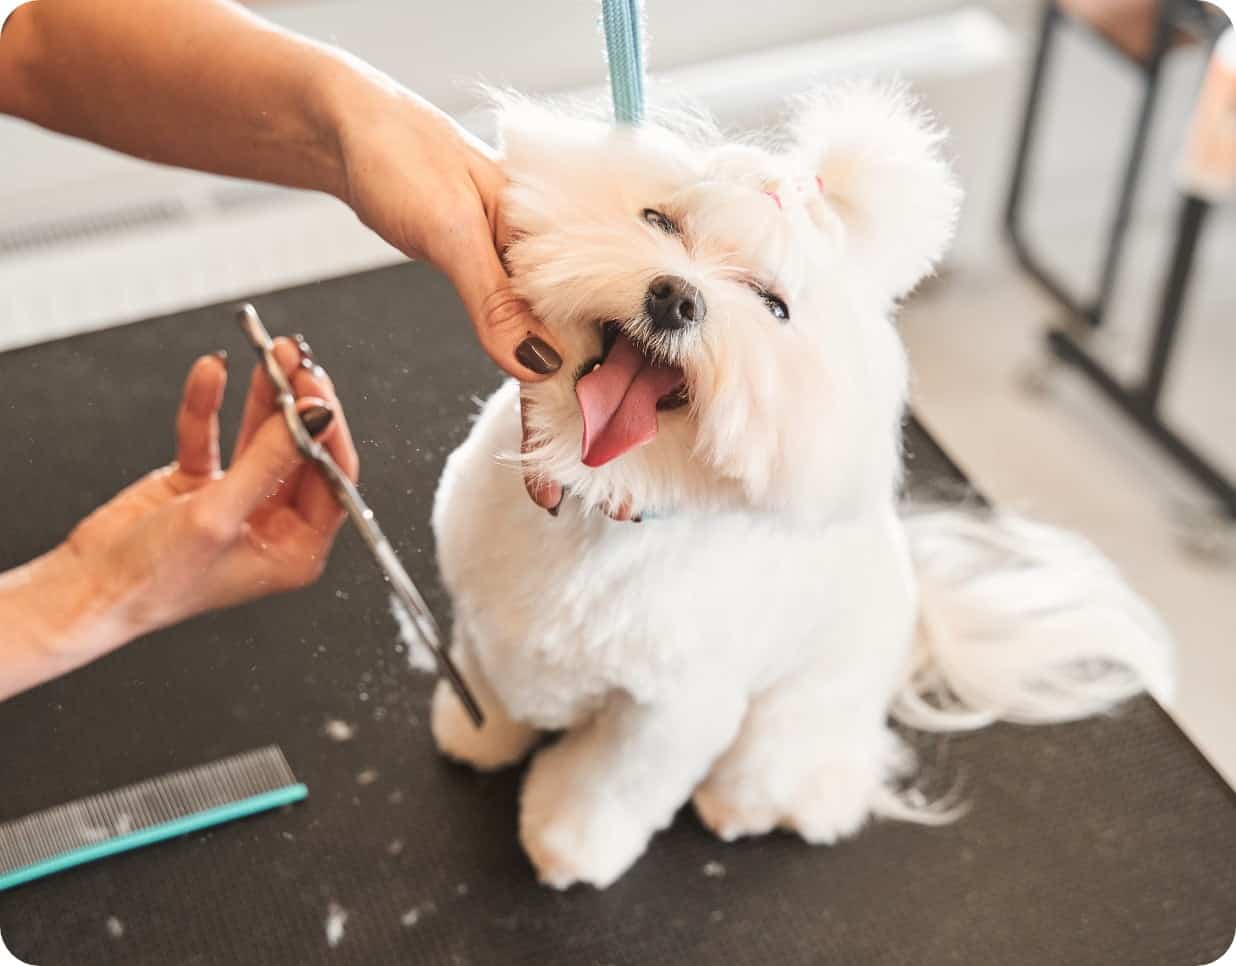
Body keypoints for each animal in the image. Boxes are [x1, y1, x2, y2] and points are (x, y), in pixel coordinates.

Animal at [412, 85, 1166, 894]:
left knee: (801, 785)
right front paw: (478, 730)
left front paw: (567, 843)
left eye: (772, 306)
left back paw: (749, 809)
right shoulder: (483, 616)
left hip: (791, 726)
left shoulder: (672, 714)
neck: (599, 501)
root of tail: (915, 621)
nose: (676, 298)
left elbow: (611, 783)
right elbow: (485, 677)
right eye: (660, 221)